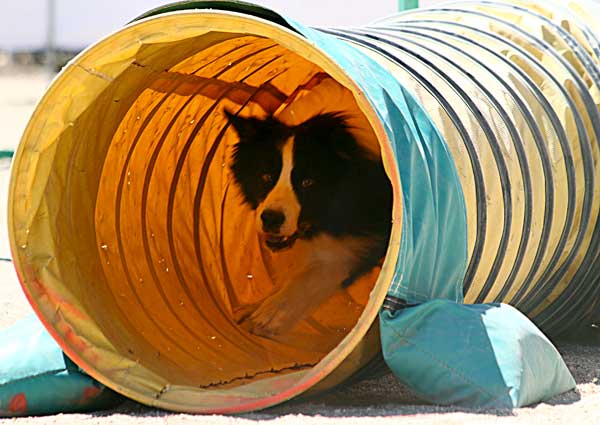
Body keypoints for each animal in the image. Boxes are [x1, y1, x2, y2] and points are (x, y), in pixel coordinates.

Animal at [226, 110, 394, 338]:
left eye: (307, 182)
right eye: (266, 176)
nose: (271, 219)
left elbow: (321, 269)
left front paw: (268, 315)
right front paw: (250, 309)